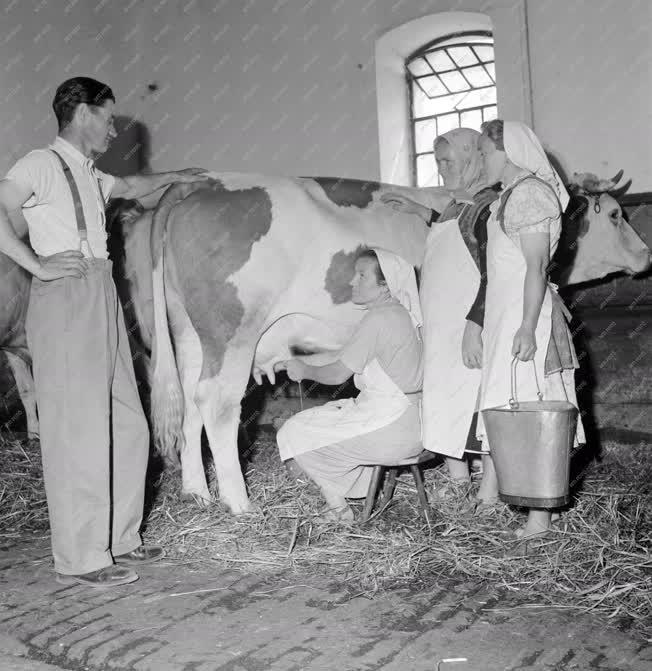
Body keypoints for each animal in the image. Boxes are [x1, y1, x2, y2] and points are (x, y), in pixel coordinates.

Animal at [109, 169, 648, 516]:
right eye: (616, 214)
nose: (646, 254)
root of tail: (201, 183)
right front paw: (467, 479)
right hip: (232, 333)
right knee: (216, 406)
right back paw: (239, 502)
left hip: (187, 335)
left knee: (190, 406)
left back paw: (197, 492)